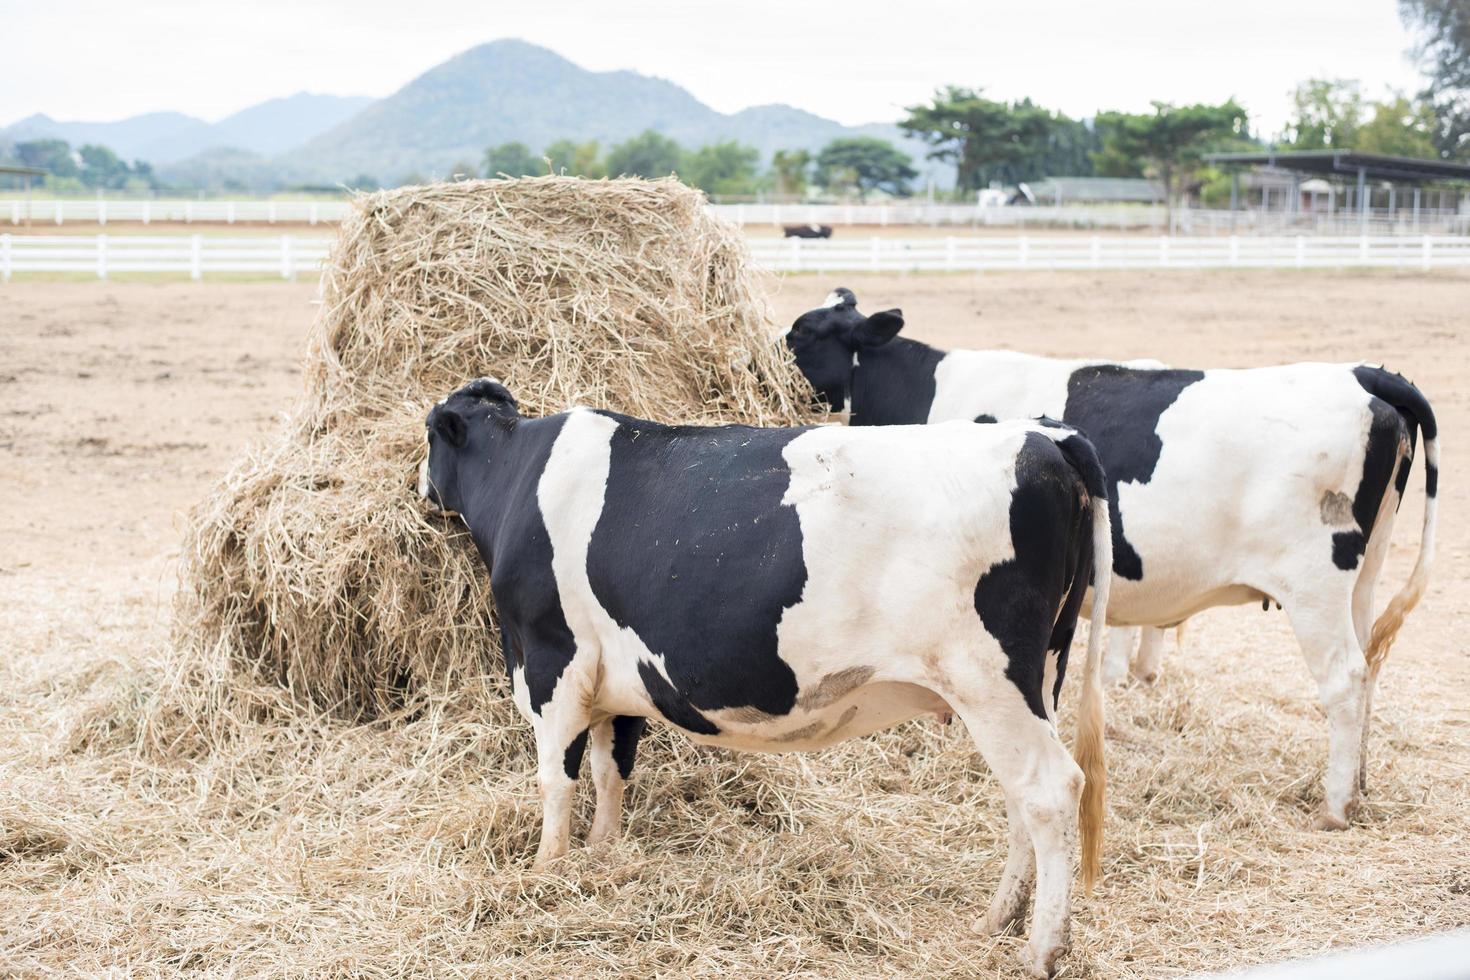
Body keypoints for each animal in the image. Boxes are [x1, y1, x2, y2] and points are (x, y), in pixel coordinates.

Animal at [426, 379, 1111, 975]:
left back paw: (1041, 949)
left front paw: (547, 870)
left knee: (1050, 790)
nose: (424, 490)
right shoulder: (614, 682)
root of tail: (1045, 436)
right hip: (1038, 679)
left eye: (432, 436)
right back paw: (997, 920)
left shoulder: (552, 665)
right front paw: (602, 854)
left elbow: (557, 779)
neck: (520, 477)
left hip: (990, 680)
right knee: (1020, 798)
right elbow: (610, 767)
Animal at [787, 287, 1440, 834]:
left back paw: (1335, 806)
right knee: (1369, 669)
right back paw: (1359, 785)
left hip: (1314, 584)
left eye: (802, 336)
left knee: (1345, 678)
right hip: (1364, 575)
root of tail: (1362, 373)